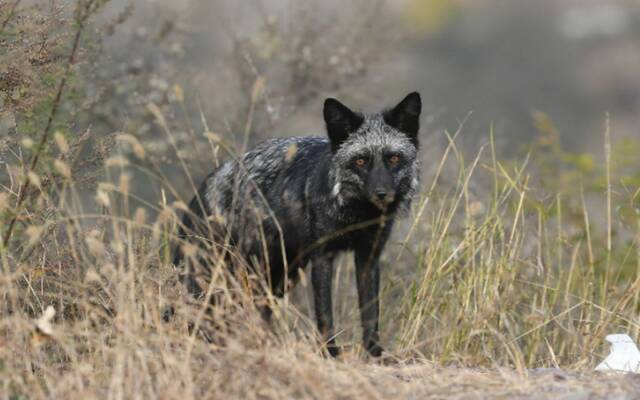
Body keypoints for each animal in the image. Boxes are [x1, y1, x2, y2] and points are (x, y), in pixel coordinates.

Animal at [175, 91, 422, 356]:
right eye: (361, 161)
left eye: (394, 158)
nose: (382, 194)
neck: (356, 216)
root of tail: (206, 183)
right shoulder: (323, 256)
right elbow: (325, 314)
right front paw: (330, 352)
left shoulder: (368, 256)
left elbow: (370, 312)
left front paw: (375, 352)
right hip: (234, 271)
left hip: (279, 275)